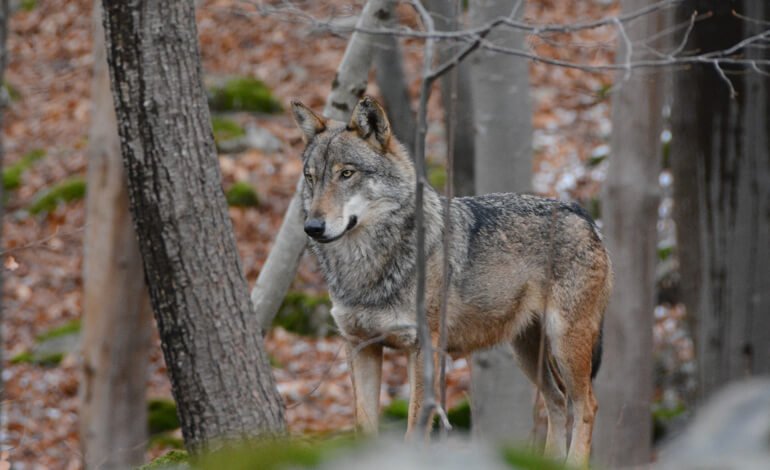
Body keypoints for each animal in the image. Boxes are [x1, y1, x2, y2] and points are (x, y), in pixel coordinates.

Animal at [291, 96, 612, 467]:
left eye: (346, 174)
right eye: (311, 178)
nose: (312, 227)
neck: (365, 268)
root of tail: (583, 214)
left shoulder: (422, 349)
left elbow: (415, 429)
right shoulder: (360, 345)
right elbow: (363, 429)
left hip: (565, 344)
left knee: (587, 405)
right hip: (526, 352)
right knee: (557, 400)